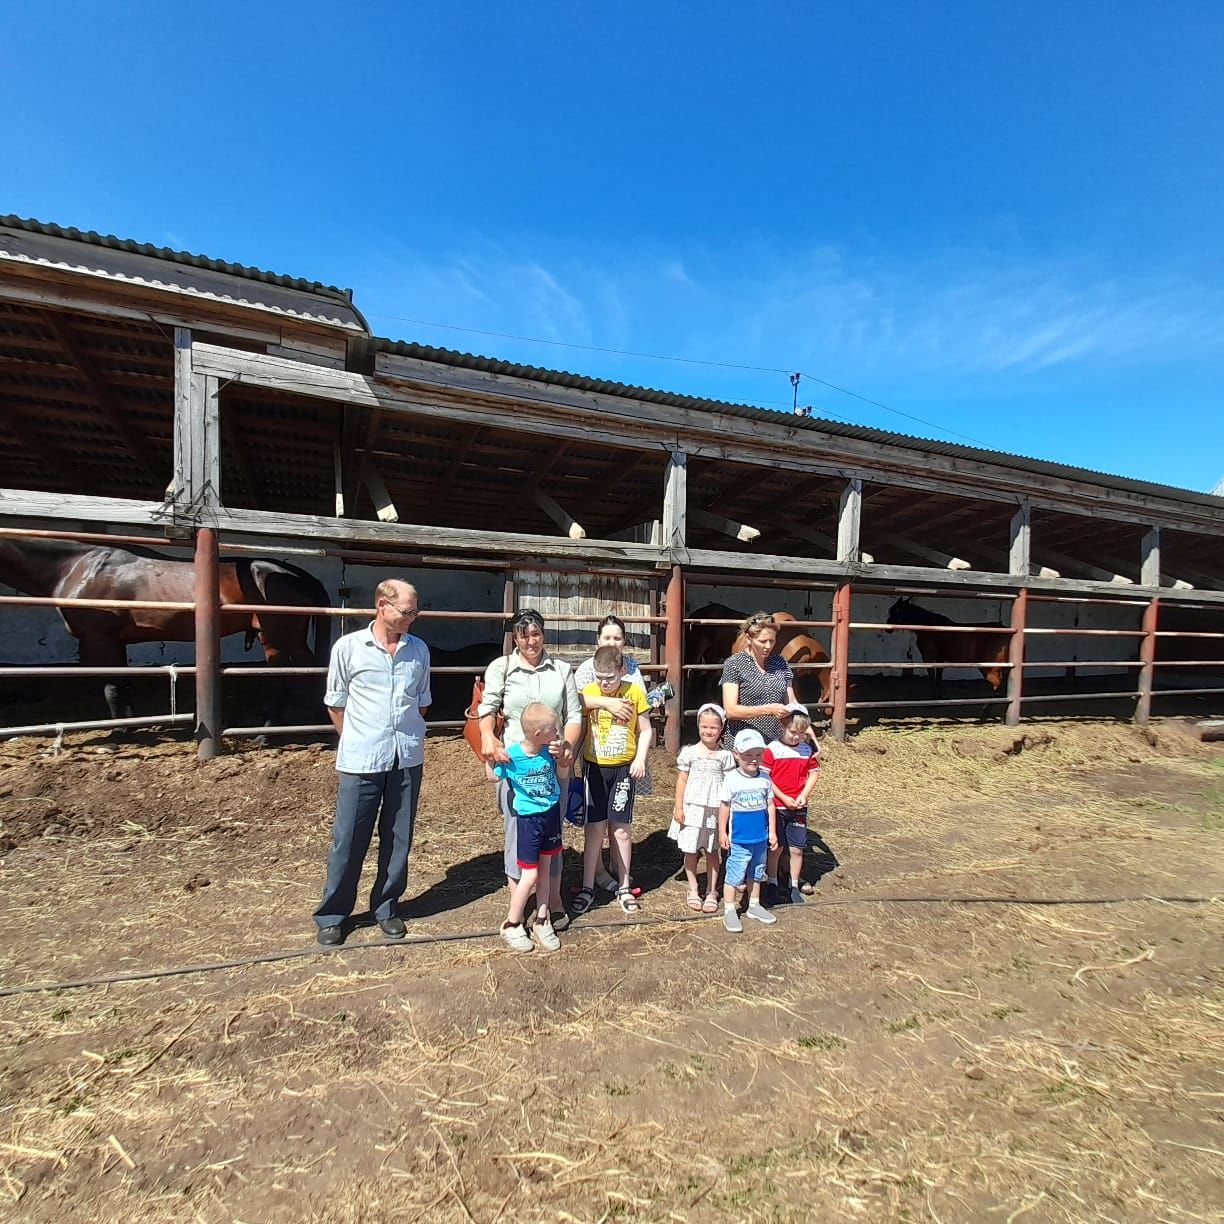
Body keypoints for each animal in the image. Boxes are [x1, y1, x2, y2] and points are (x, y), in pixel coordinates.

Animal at [0, 538, 332, 724]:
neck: (77, 567)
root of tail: (298, 574)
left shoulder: (100, 639)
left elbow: (111, 689)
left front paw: (119, 735)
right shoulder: (116, 642)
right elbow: (122, 685)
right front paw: (133, 724)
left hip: (277, 636)